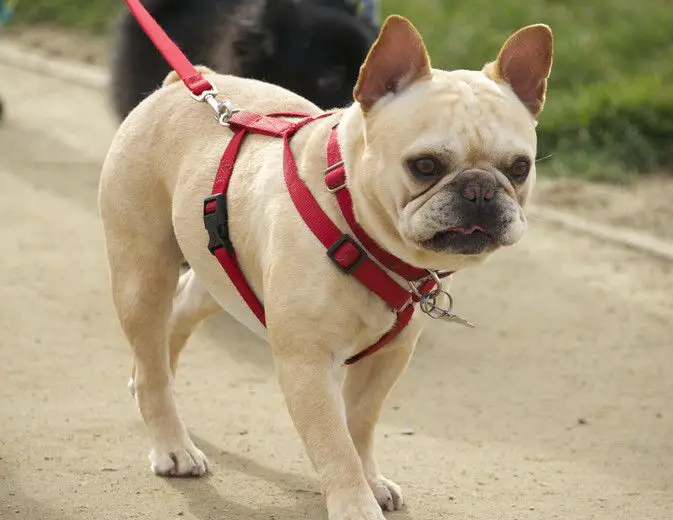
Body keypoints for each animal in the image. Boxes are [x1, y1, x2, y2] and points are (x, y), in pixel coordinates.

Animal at [98, 15, 552, 520]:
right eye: (425, 165)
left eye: (519, 168)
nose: (480, 190)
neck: (360, 227)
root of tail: (183, 83)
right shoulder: (308, 365)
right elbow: (335, 443)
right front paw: (355, 503)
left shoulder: (388, 360)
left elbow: (360, 425)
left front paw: (371, 481)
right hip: (143, 271)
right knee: (152, 351)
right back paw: (172, 444)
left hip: (221, 276)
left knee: (175, 321)